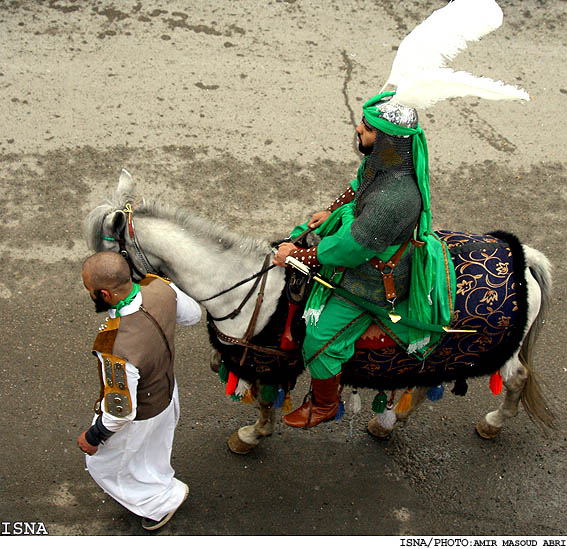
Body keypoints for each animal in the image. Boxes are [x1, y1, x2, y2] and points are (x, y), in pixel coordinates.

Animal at [84, 171, 556, 454]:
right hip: (437, 351)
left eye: (105, 251)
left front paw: (252, 435)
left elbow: (263, 401)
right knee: (425, 382)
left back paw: (493, 422)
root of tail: (520, 255)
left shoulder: (266, 361)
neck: (243, 283)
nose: (100, 302)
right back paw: (390, 422)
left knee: (516, 378)